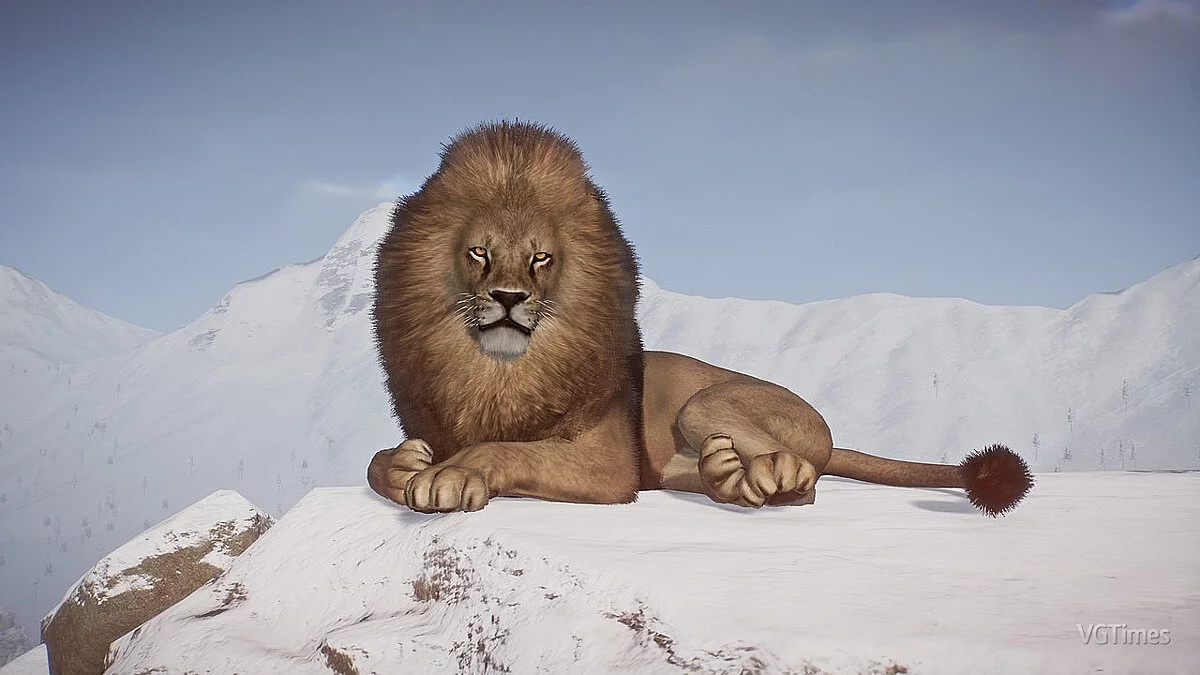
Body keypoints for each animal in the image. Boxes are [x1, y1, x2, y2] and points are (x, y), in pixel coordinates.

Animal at [367, 121, 1033, 517]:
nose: (507, 297)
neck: (497, 374)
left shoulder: (609, 464)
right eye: (479, 252)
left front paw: (449, 476)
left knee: (808, 478)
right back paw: (728, 477)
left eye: (540, 258)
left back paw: (772, 476)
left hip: (705, 403)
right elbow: (379, 463)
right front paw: (406, 464)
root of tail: (826, 427)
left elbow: (501, 449)